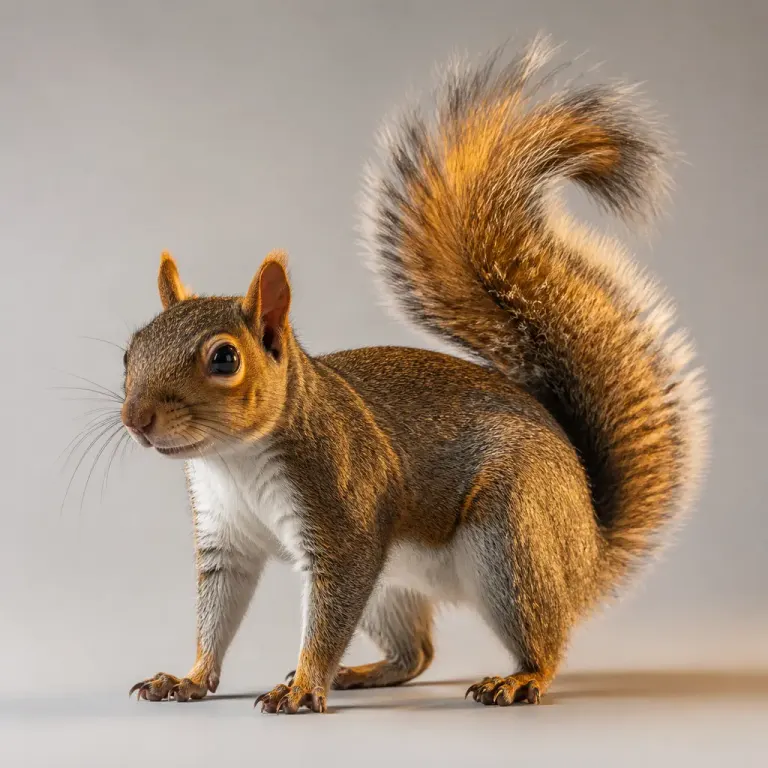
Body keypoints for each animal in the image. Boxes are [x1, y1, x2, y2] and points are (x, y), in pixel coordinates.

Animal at [125, 36, 708, 713]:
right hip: (395, 586)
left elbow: (326, 616)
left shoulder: (345, 522)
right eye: (129, 350)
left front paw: (303, 687)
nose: (135, 418)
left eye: (224, 358)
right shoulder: (226, 541)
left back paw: (517, 678)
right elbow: (216, 613)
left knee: (543, 641)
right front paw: (189, 678)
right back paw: (363, 672)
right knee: (417, 655)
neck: (233, 459)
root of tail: (587, 549)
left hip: (510, 542)